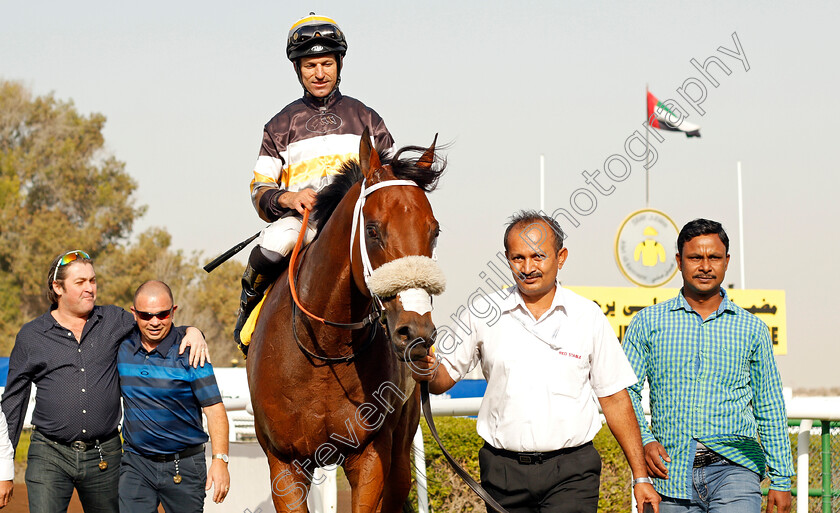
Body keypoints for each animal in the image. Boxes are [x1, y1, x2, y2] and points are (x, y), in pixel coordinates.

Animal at [246, 130, 446, 510]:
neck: (325, 352)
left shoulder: (370, 455)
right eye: (373, 230)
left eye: (434, 231)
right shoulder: (285, 463)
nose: (415, 331)